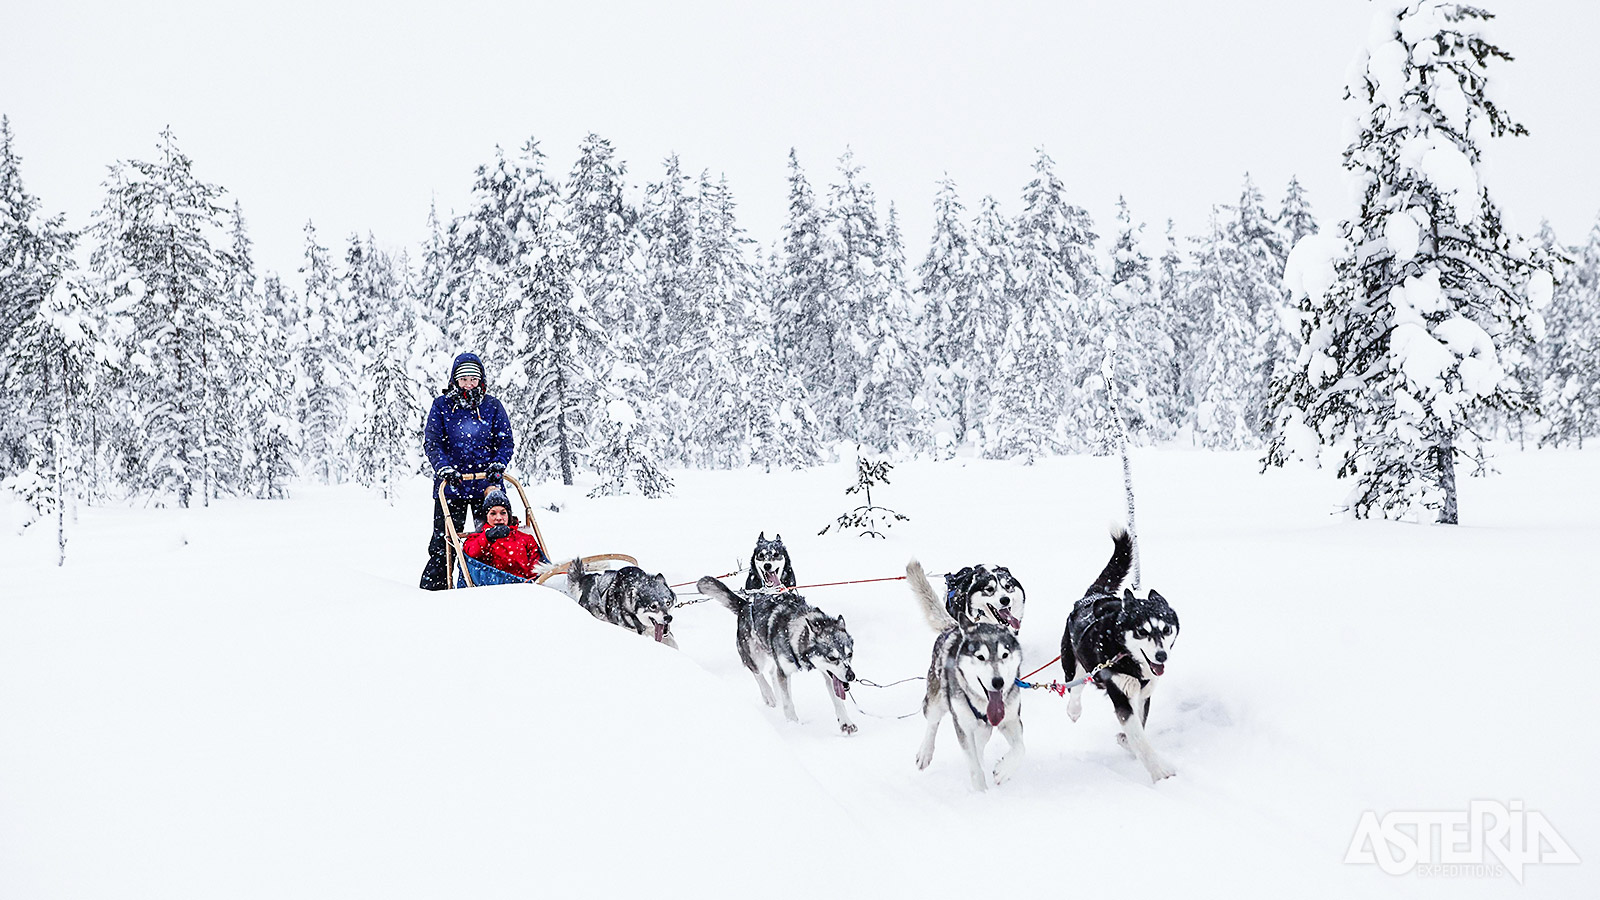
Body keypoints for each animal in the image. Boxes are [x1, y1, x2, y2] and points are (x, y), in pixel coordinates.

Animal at [694, 573, 857, 730]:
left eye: (850, 654)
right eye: (832, 657)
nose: (851, 676)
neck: (797, 631)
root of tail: (744, 605)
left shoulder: (829, 673)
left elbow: (838, 699)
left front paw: (846, 722)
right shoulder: (784, 671)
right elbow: (788, 703)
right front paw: (793, 725)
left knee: (772, 672)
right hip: (755, 656)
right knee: (757, 672)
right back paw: (769, 695)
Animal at [908, 557, 1017, 787]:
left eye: (1008, 586)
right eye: (989, 589)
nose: (1005, 600)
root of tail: (953, 627)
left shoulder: (1006, 718)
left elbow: (1018, 749)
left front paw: (1003, 770)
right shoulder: (964, 725)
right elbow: (973, 760)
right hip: (936, 699)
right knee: (932, 722)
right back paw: (925, 753)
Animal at [1062, 525, 1177, 778]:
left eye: (1166, 629)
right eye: (1142, 631)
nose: (1161, 656)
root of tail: (1094, 595)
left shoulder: (1144, 694)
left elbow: (1138, 728)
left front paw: (1126, 740)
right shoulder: (1120, 694)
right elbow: (1140, 739)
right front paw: (1160, 773)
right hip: (1073, 662)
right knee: (1075, 686)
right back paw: (1074, 710)